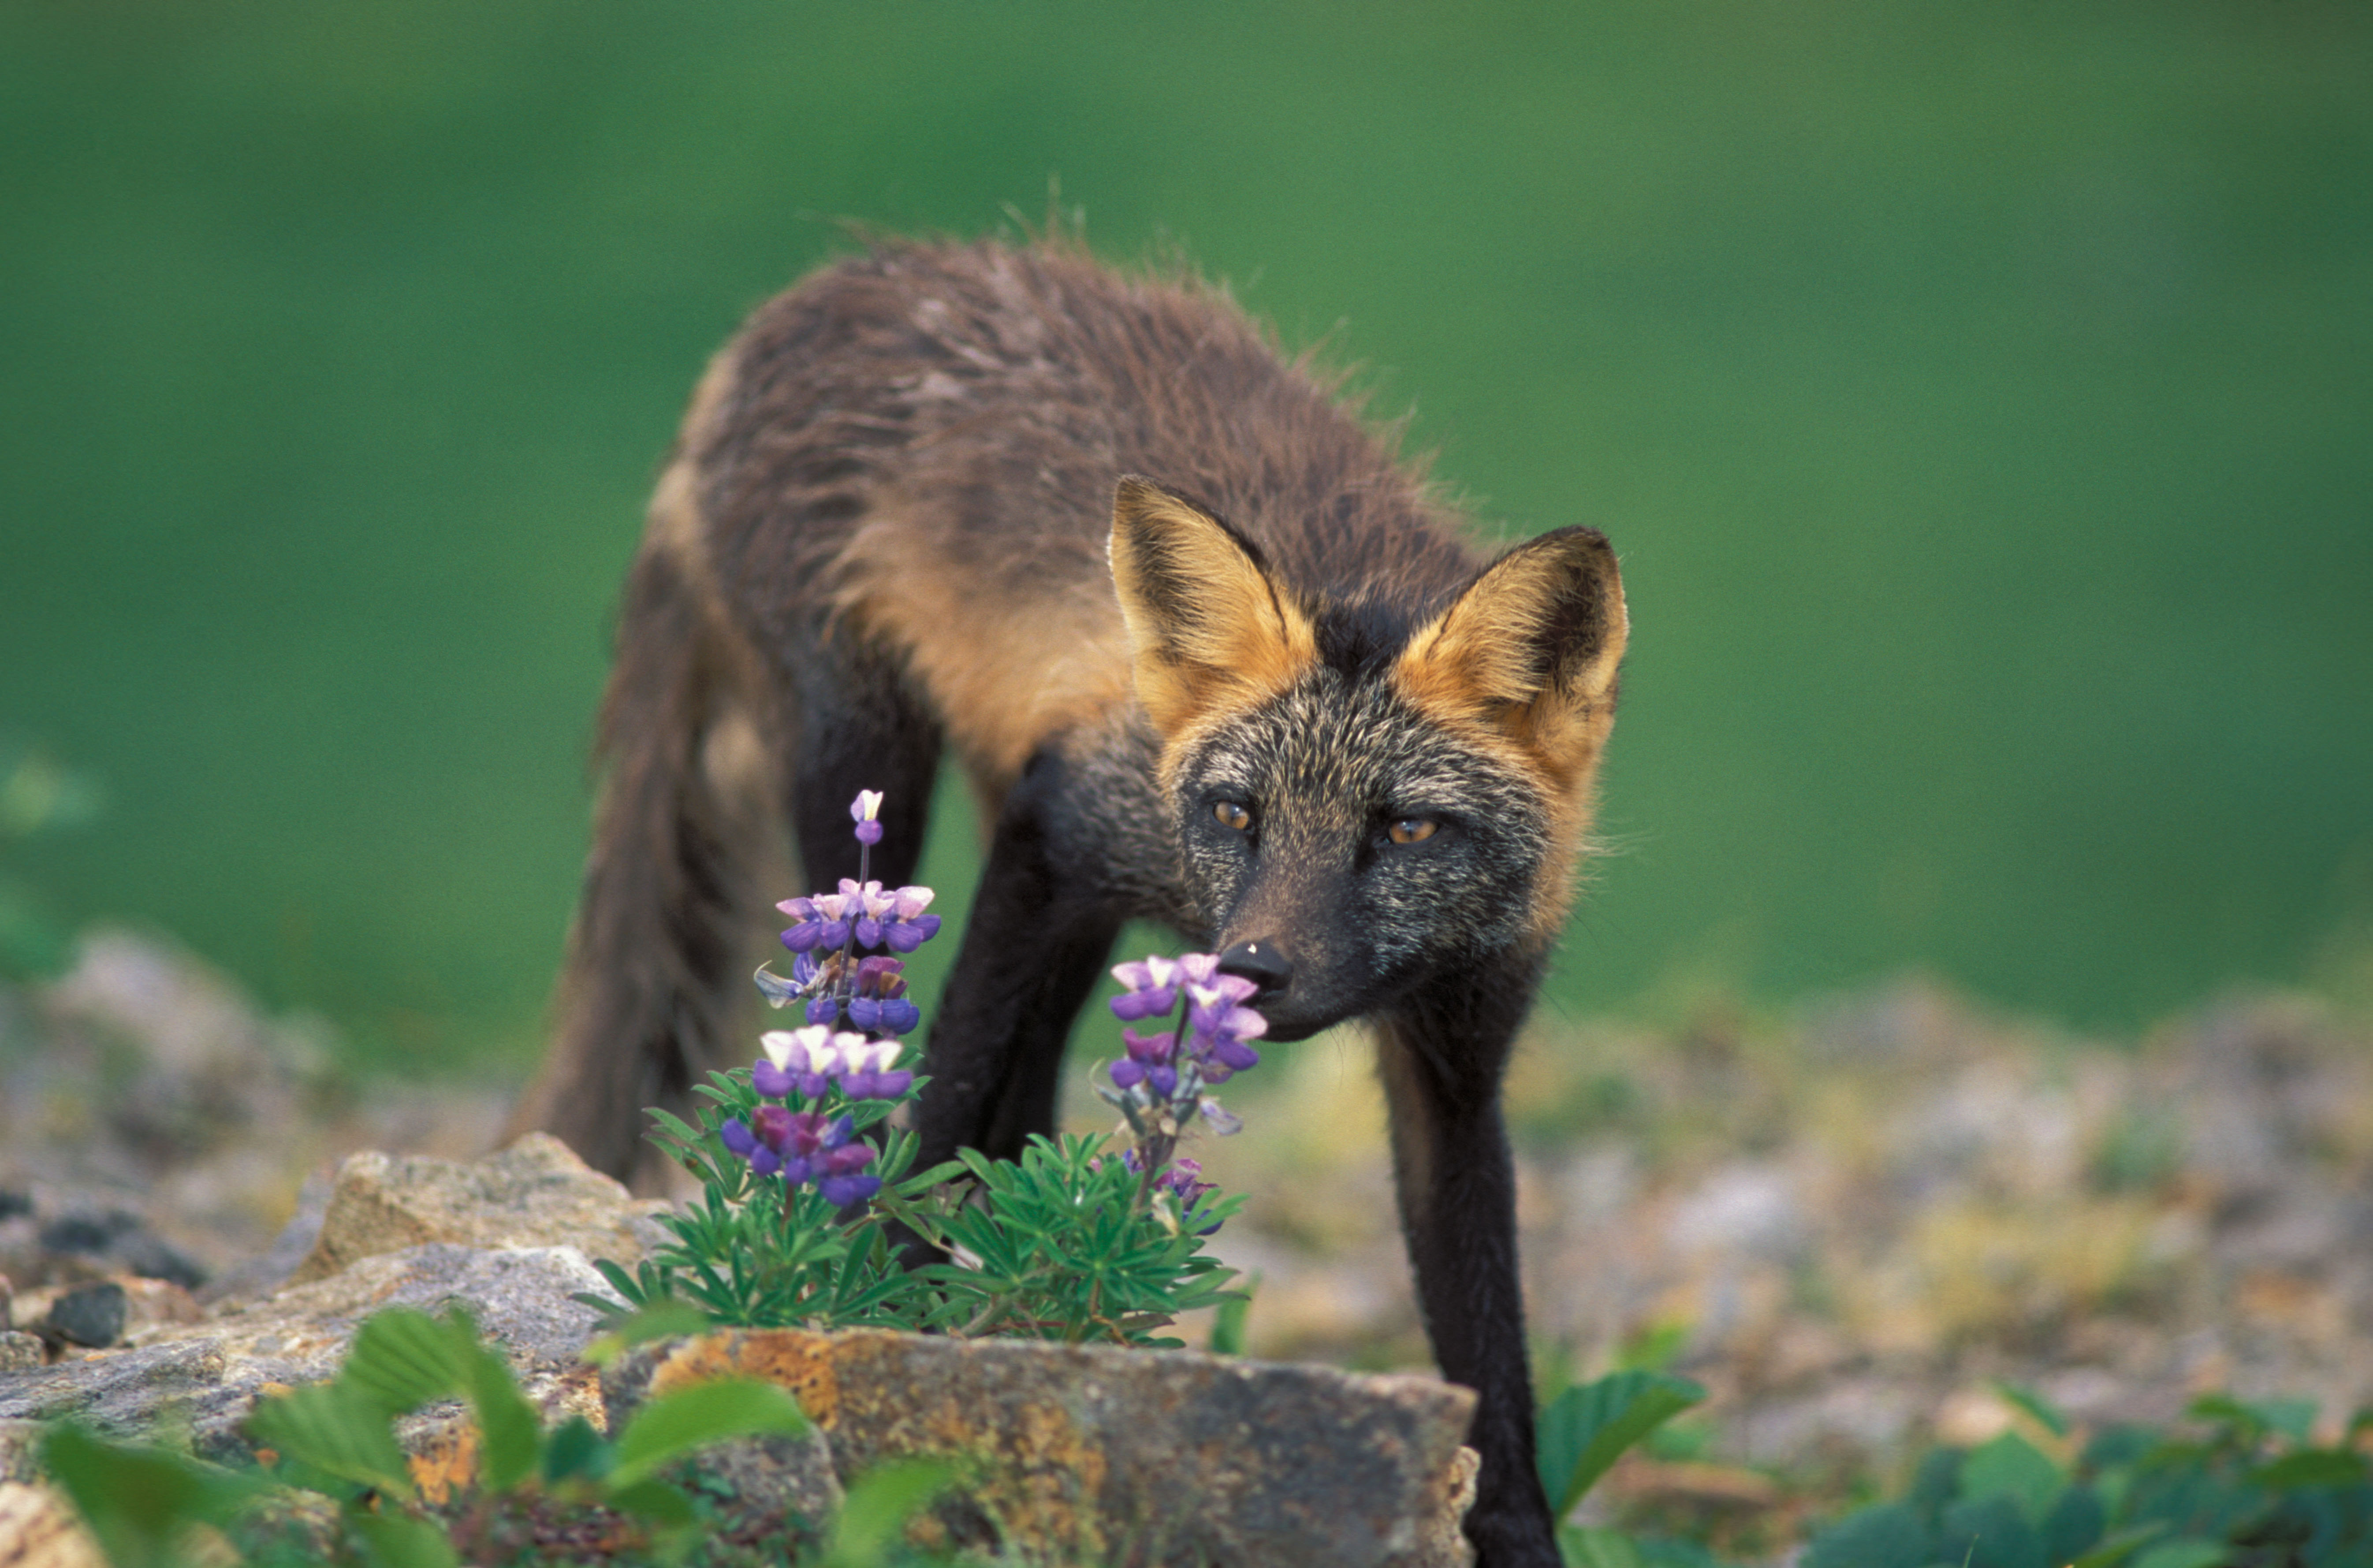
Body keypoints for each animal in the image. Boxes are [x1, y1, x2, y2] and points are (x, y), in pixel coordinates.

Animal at [508, 234, 1627, 1566]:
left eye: (1404, 828)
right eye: (1236, 815)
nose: (1252, 970)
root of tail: (830, 281)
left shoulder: (1455, 1066)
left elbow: (1489, 1351)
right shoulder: (1067, 825)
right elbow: (936, 1107)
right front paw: (873, 1304)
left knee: (1030, 1093)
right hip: (865, 771)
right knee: (881, 1012)